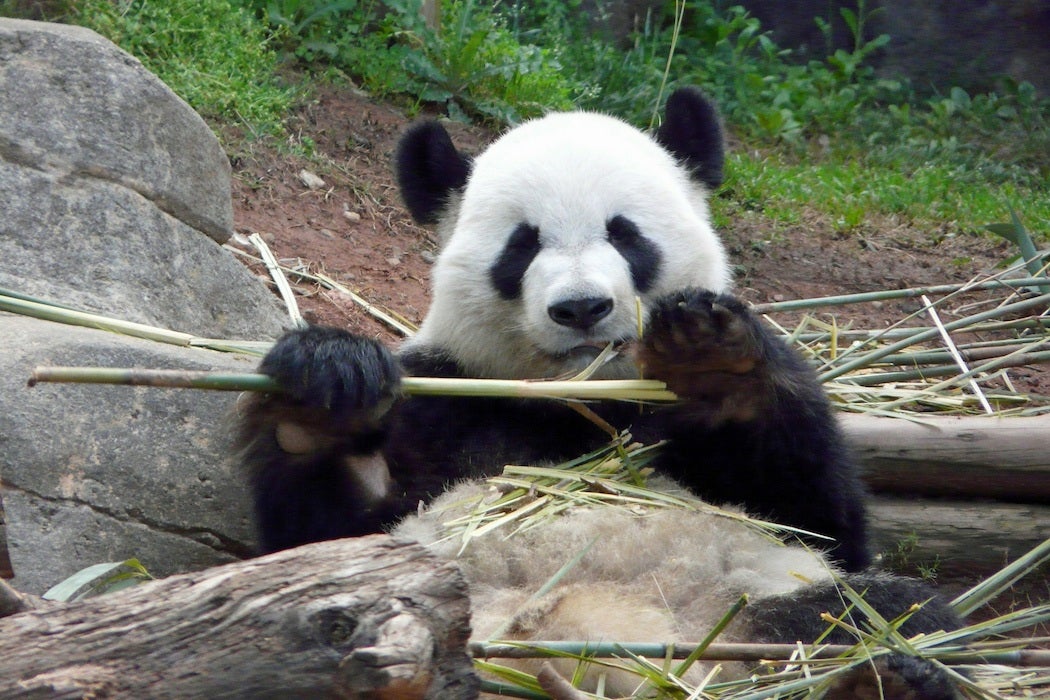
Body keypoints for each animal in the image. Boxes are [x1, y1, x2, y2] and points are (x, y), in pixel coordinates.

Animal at [236, 89, 961, 700]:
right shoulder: (446, 395)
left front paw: (713, 360)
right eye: (522, 245)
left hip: (743, 604)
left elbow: (820, 520)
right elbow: (324, 542)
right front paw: (324, 391)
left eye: (625, 233)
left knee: (880, 611)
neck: (579, 398)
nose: (582, 307)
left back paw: (880, 680)